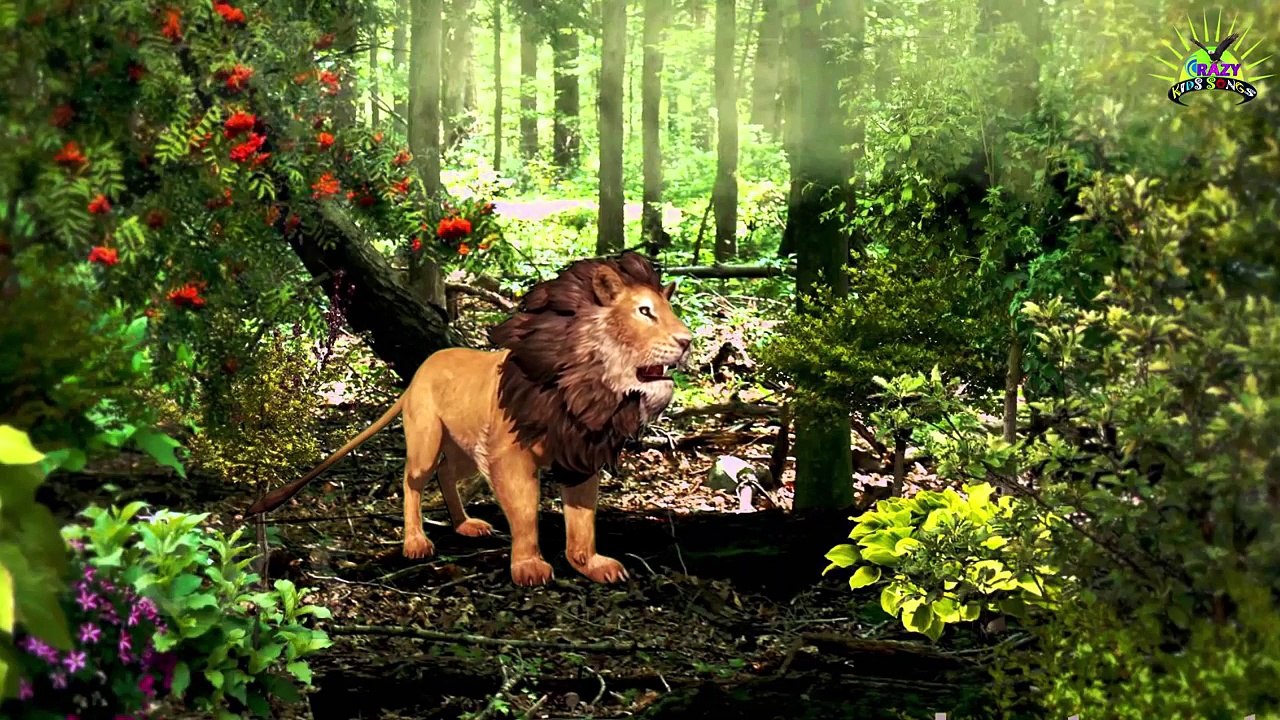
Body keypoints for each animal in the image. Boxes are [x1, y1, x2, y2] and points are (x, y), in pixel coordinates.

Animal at [247, 252, 692, 586]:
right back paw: (415, 542)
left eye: (670, 310)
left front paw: (590, 564)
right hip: (427, 440)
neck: (582, 384)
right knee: (411, 483)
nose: (687, 341)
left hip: (464, 448)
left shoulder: (579, 456)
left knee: (446, 474)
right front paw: (528, 566)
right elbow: (525, 512)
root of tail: (420, 370)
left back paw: (464, 525)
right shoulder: (510, 457)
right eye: (645, 312)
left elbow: (583, 518)